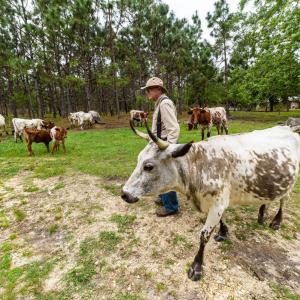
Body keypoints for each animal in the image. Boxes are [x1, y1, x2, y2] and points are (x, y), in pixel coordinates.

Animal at [120, 122, 300, 282]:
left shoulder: (218, 203)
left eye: (149, 166)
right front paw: (223, 232)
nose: (125, 194)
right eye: (138, 159)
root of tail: (288, 128)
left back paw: (276, 222)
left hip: (291, 183)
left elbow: (203, 236)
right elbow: (221, 220)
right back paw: (261, 214)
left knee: (283, 202)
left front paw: (196, 266)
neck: (199, 165)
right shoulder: (215, 203)